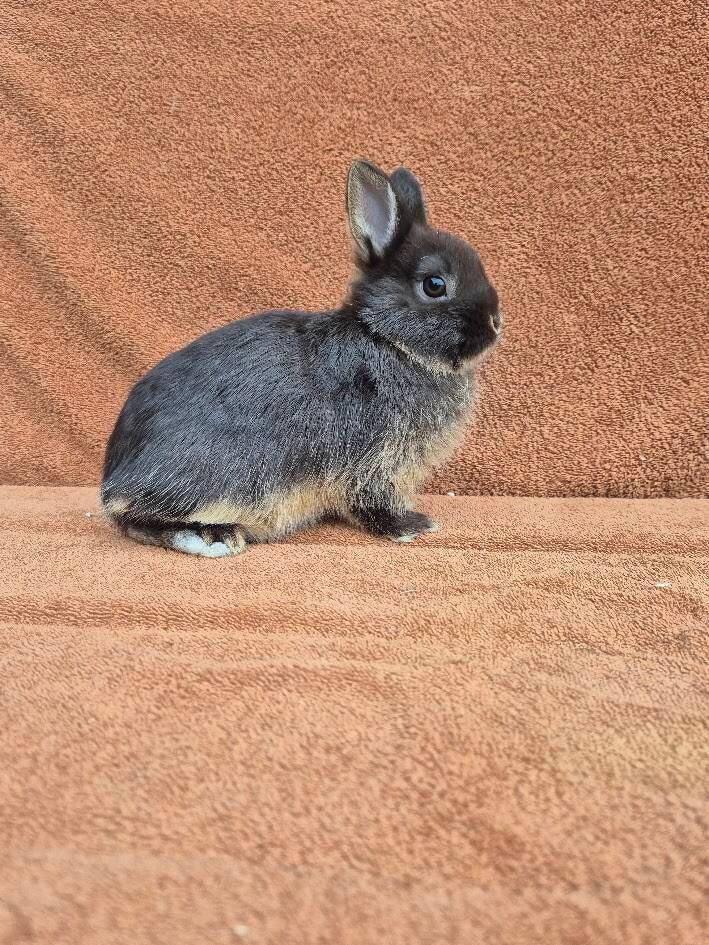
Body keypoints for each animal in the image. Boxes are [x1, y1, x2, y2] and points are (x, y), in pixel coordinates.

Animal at [101, 159, 502, 556]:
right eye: (434, 285)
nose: (496, 322)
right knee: (136, 517)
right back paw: (213, 537)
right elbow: (373, 501)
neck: (385, 338)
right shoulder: (375, 459)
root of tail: (113, 481)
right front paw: (411, 526)